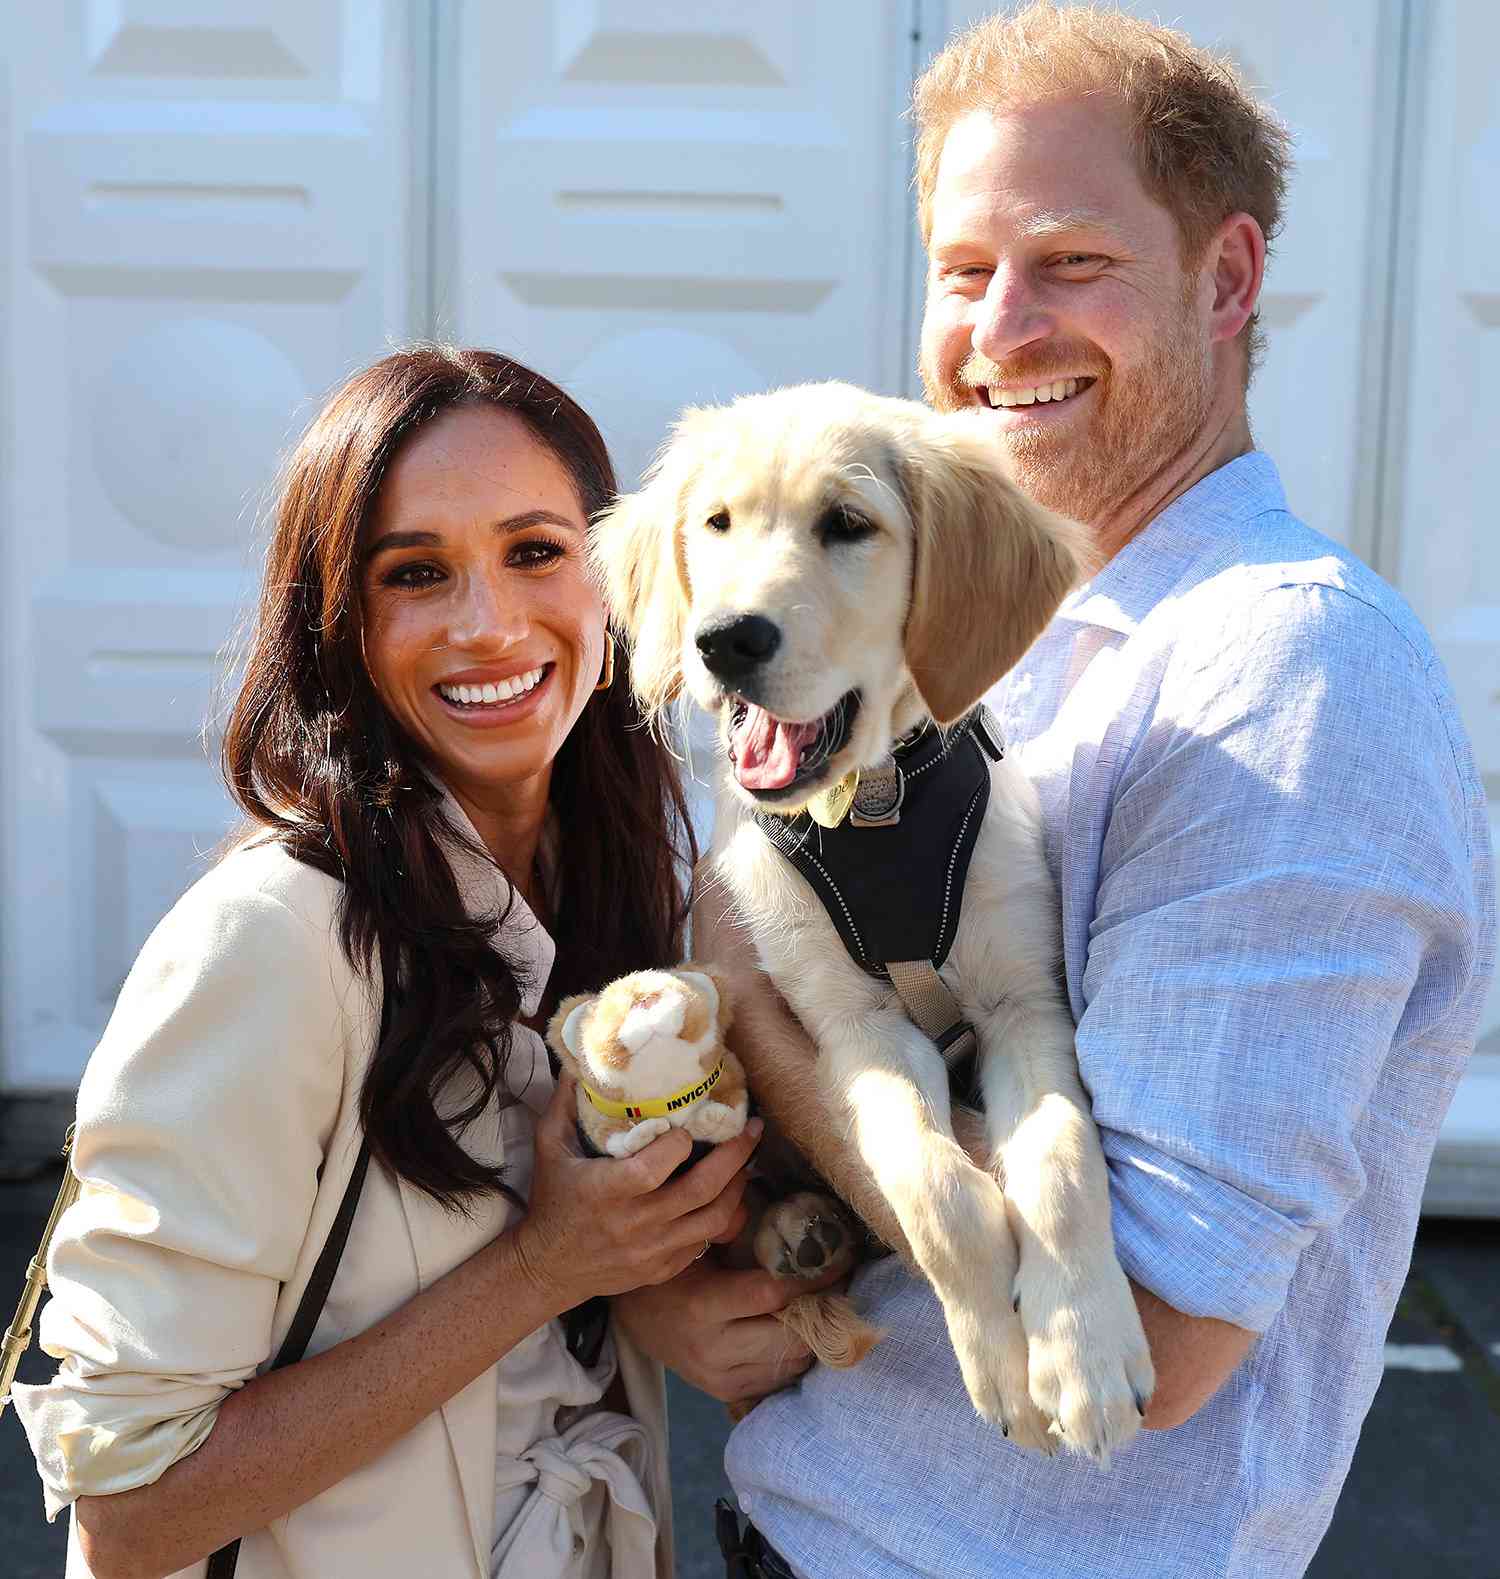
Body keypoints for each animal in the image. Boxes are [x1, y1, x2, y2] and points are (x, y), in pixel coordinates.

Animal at [593, 385, 1155, 1465]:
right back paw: (793, 1229)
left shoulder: (1024, 1006)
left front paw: (1084, 1352)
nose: (724, 640)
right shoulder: (851, 1027)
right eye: (715, 523)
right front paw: (1005, 1364)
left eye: (848, 525)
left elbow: (1061, 1164)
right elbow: (936, 1190)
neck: (877, 810)